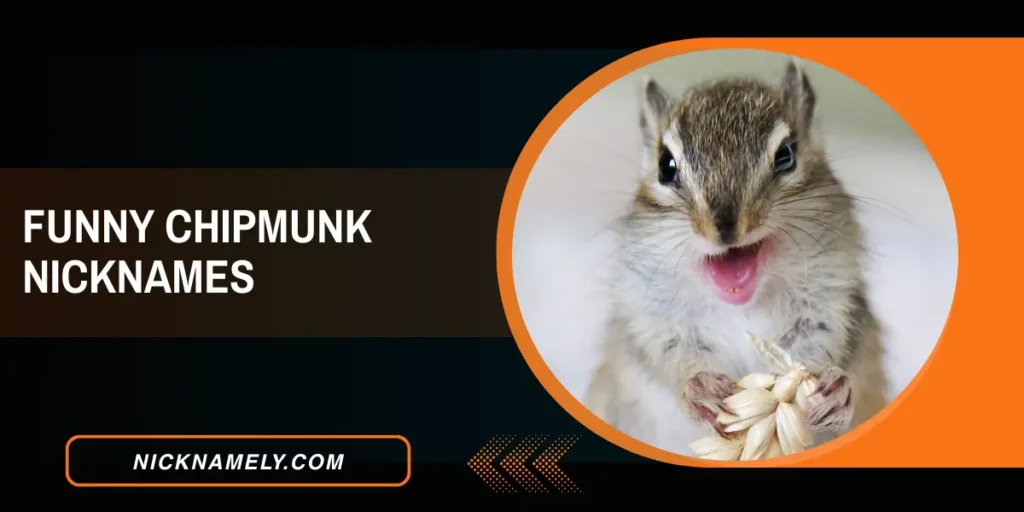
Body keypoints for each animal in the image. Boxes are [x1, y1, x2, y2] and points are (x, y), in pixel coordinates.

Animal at [583, 58, 889, 456]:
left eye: (786, 155)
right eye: (666, 165)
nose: (726, 228)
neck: (741, 308)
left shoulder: (830, 303)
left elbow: (824, 345)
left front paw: (834, 389)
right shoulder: (653, 317)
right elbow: (668, 353)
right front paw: (701, 389)